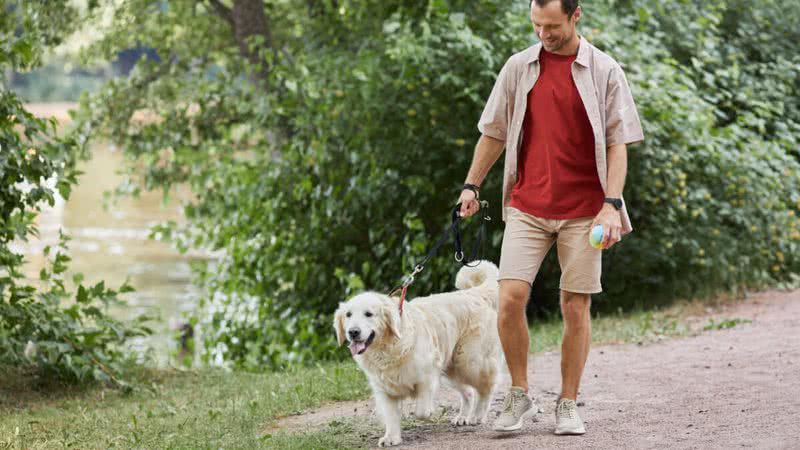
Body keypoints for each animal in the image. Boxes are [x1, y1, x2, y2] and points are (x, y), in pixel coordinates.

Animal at [332, 260, 500, 446]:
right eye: (348, 315)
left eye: (368, 314)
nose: (353, 332)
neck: (388, 349)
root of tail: (474, 293)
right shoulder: (384, 390)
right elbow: (391, 416)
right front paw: (391, 438)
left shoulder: (427, 377)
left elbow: (421, 411)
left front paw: (429, 413)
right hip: (451, 368)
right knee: (469, 392)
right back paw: (462, 417)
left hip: (468, 361)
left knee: (486, 387)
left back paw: (477, 416)